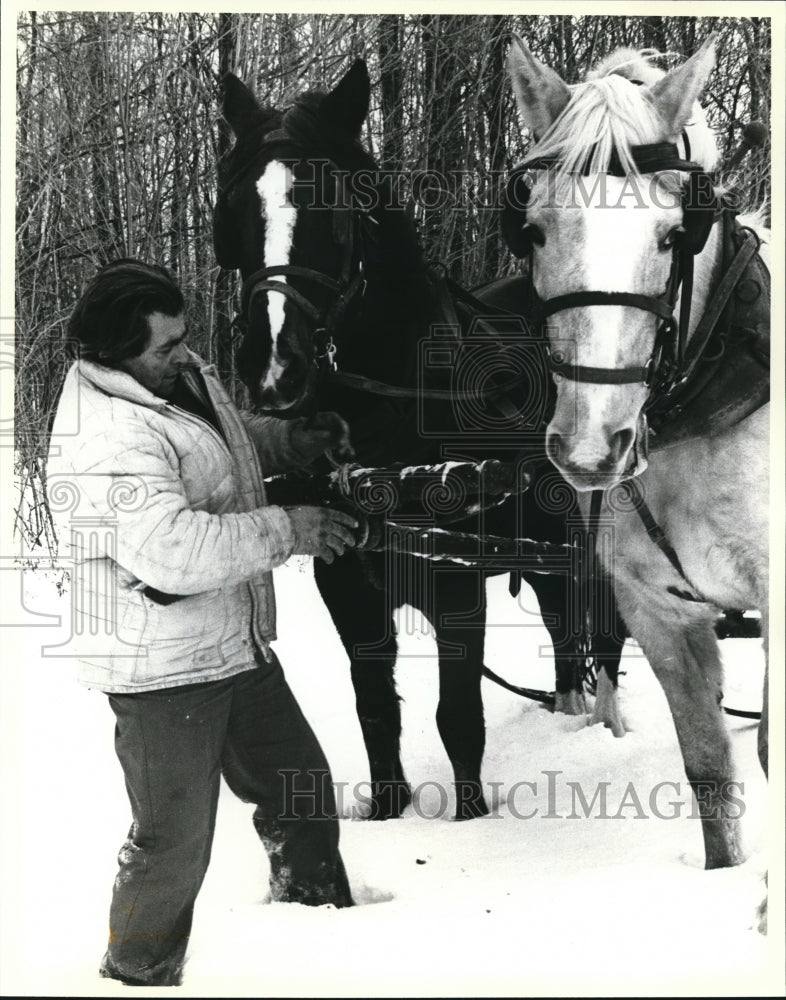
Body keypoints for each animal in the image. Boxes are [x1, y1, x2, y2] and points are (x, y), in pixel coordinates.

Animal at [213, 56, 624, 820]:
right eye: (233, 211)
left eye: (333, 210)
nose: (274, 365)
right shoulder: (346, 583)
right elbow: (376, 710)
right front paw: (386, 812)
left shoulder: (457, 585)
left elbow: (457, 716)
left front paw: (470, 819)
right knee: (562, 630)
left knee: (604, 635)